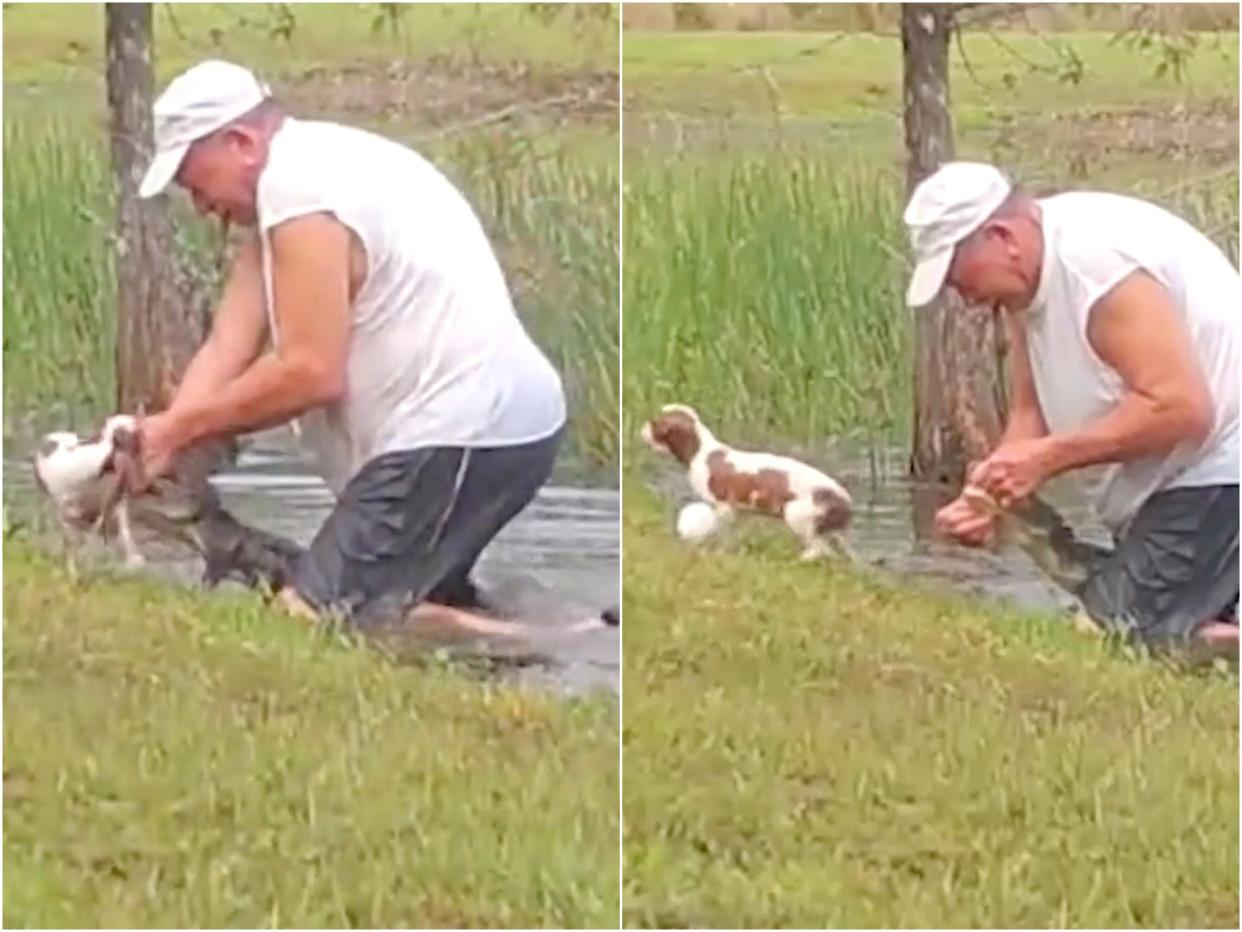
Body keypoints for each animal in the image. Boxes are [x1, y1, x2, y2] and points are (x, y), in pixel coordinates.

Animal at [640, 402, 854, 561]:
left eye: (654, 424)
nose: (642, 428)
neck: (703, 452)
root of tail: (844, 500)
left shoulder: (724, 506)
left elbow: (723, 532)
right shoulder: (735, 510)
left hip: (797, 515)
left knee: (818, 549)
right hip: (831, 530)